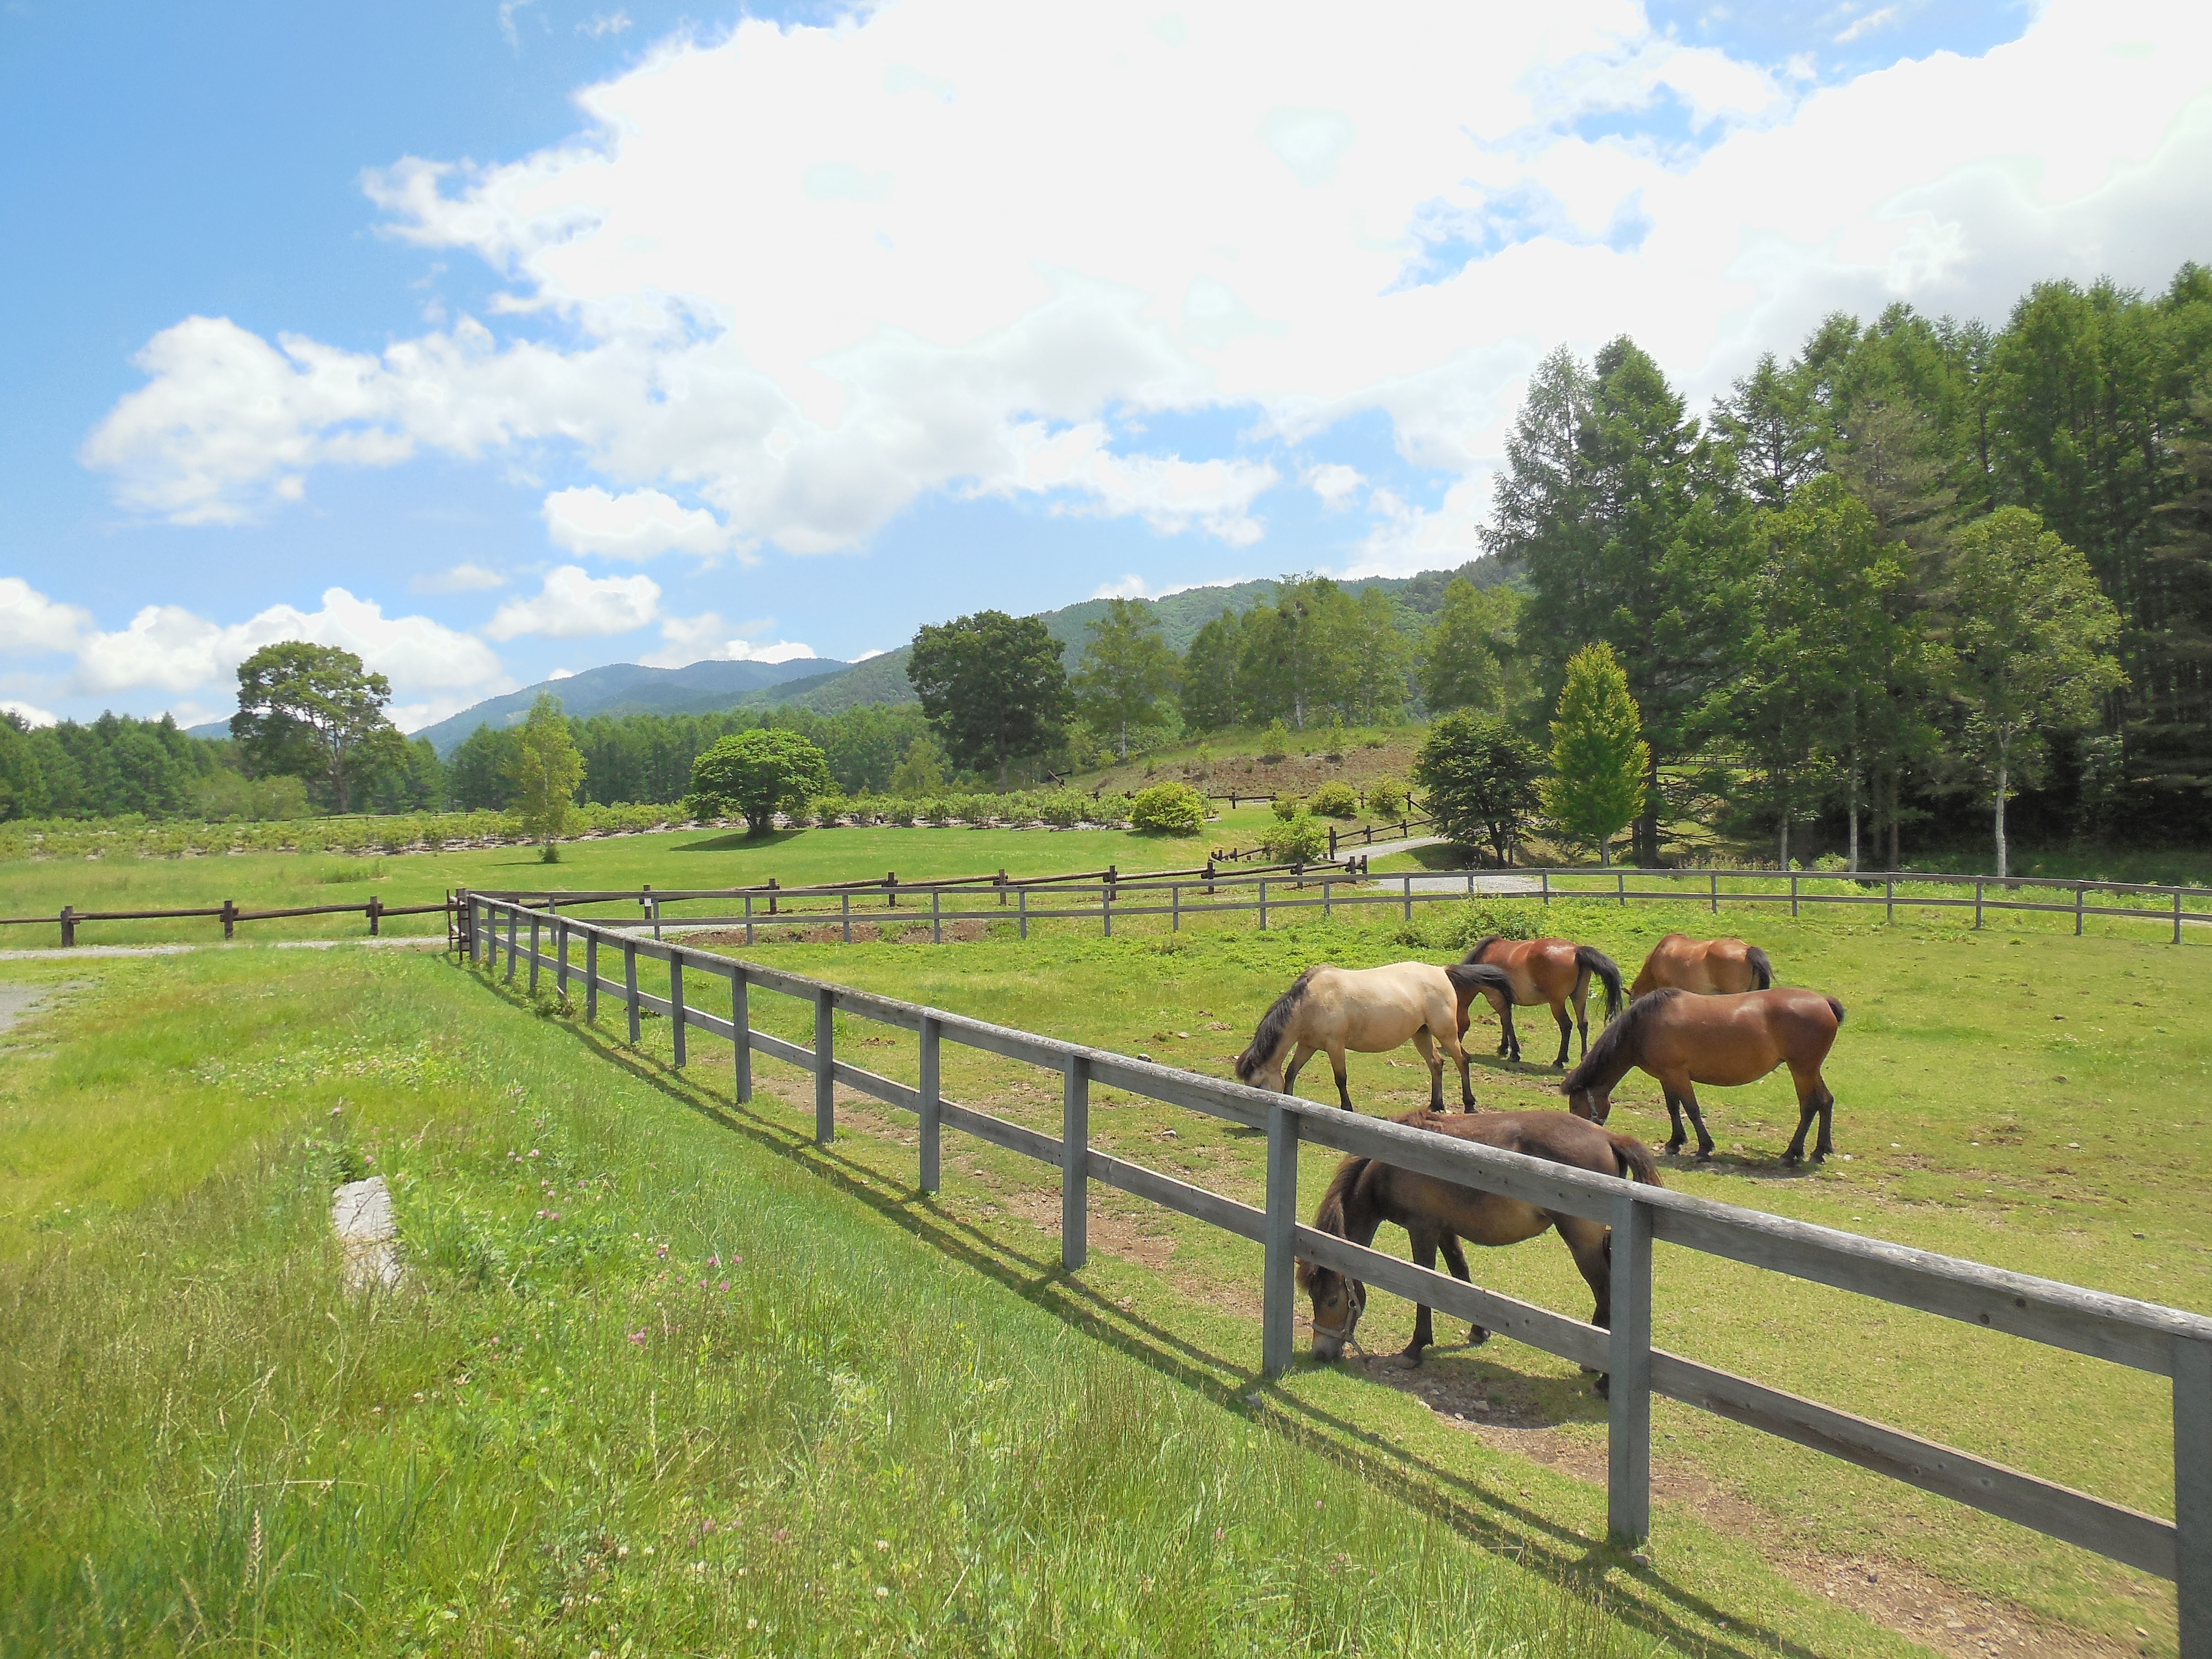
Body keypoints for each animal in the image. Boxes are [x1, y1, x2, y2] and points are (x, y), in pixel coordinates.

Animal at [1238, 960, 1513, 1119]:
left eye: (1257, 1085)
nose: (1255, 1122)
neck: (1309, 1001)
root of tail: (1442, 971)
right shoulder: (1308, 1045)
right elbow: (1292, 1072)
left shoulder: (1335, 1046)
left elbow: (1340, 1079)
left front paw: (1347, 1109)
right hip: (1421, 1034)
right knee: (1437, 1063)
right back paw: (1436, 1105)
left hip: (1445, 1032)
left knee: (1462, 1060)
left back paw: (1469, 1105)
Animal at [1292, 1110, 1663, 1371]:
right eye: (1313, 1297)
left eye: (1332, 1300)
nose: (1320, 1353)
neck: (1391, 1163)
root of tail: (1608, 1136)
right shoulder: (1445, 1229)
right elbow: (1461, 1276)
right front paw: (1479, 1331)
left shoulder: (1423, 1230)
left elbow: (1425, 1286)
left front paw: (1415, 1349)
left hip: (1581, 1243)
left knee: (1606, 1293)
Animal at [1451, 938, 1628, 1066]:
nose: (1455, 1045)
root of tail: (1576, 950)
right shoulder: (1505, 1000)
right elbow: (1505, 1022)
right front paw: (1504, 1048)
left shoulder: (1495, 997)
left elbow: (1507, 1022)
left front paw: (1514, 1053)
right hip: (1579, 998)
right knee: (1582, 1024)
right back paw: (1583, 1057)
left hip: (1557, 1003)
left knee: (1567, 1026)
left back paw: (1560, 1061)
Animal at [1557, 986, 1849, 1168]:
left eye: (1576, 1105)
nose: (1580, 1138)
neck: (1644, 1026)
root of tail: (1824, 1002)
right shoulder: (1666, 1076)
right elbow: (1673, 1108)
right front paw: (1675, 1143)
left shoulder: (1678, 1074)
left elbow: (1692, 1109)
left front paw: (1704, 1148)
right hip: (1809, 1070)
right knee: (1825, 1101)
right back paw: (1819, 1151)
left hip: (1802, 1069)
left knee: (1810, 1105)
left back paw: (1791, 1154)